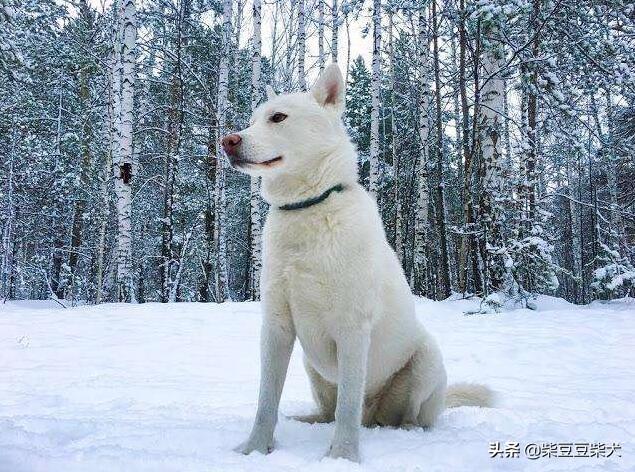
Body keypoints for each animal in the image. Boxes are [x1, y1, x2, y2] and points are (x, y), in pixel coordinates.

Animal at [224, 64, 496, 462]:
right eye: (252, 120)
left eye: (278, 118)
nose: (227, 141)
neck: (309, 208)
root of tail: (375, 417)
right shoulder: (276, 326)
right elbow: (266, 401)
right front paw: (255, 449)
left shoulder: (352, 329)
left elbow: (348, 407)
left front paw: (342, 456)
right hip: (311, 365)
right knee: (328, 412)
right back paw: (307, 419)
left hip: (426, 360)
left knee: (400, 415)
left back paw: (408, 429)